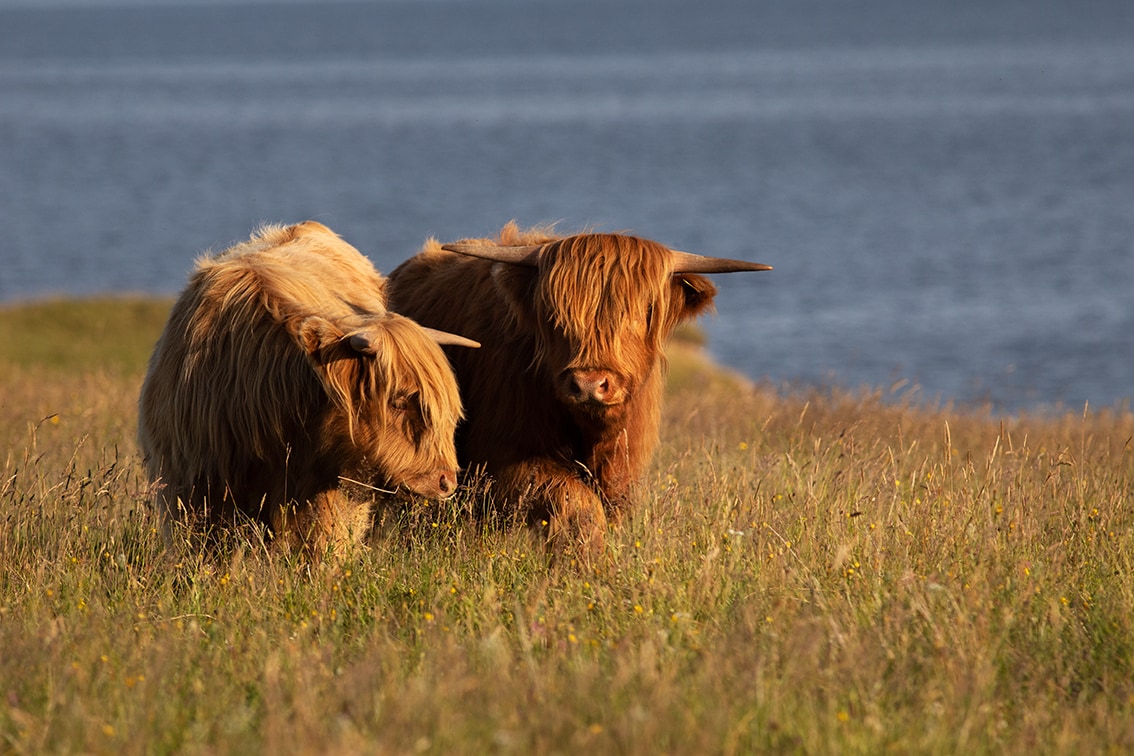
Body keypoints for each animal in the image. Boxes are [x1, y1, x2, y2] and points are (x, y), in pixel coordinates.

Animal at [383, 222, 771, 559]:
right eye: (554, 315)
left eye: (641, 313)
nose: (589, 384)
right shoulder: (500, 461)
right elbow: (576, 500)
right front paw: (588, 564)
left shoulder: (623, 469)